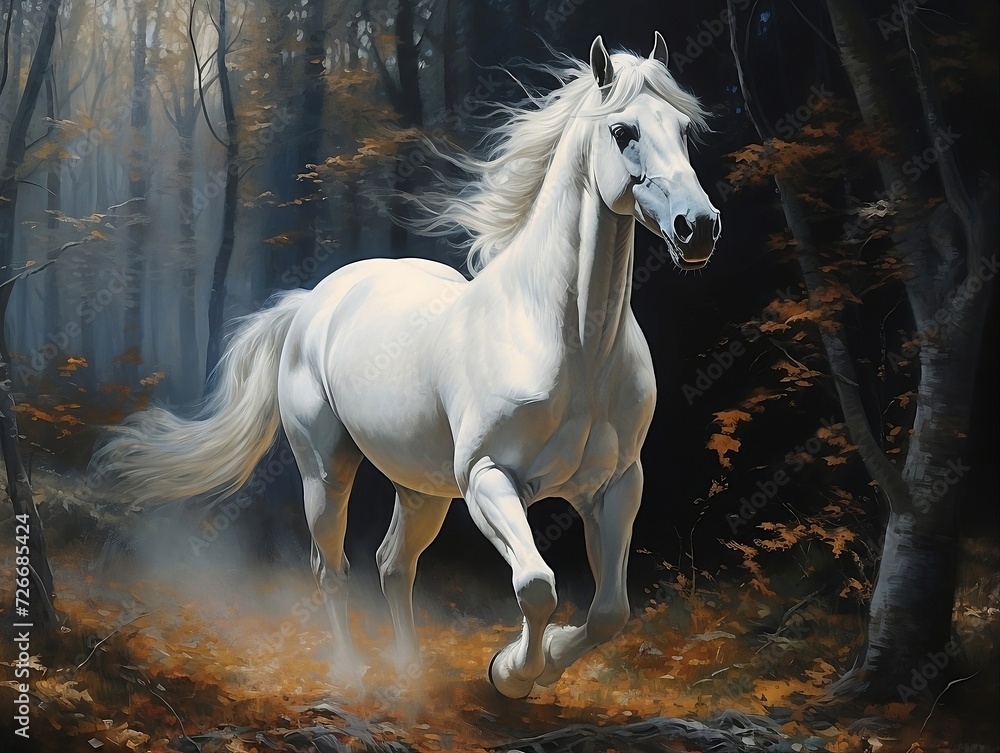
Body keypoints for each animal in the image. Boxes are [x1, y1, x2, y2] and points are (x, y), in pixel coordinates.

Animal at [94, 33, 720, 699]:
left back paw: (413, 673)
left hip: (420, 488)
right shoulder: (489, 478)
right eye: (623, 130)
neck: (570, 343)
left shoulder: (615, 485)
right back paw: (351, 675)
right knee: (332, 568)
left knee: (393, 565)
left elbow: (609, 612)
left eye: (684, 129)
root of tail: (311, 303)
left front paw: (541, 661)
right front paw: (511, 673)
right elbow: (536, 586)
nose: (698, 227)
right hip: (326, 474)